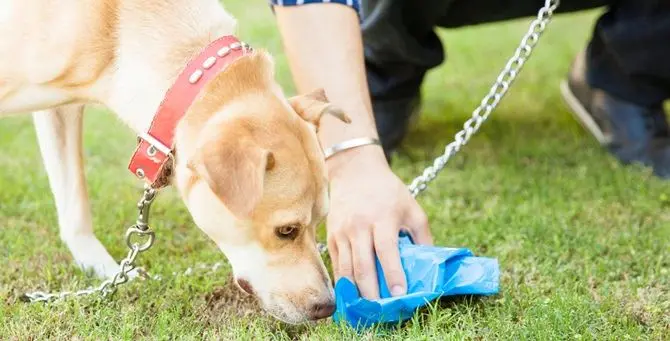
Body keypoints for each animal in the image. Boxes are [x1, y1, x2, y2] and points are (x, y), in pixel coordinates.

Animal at [1, 0, 352, 322]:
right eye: (286, 230)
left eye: (321, 220)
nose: (327, 307)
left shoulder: (63, 109)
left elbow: (74, 201)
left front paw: (105, 271)